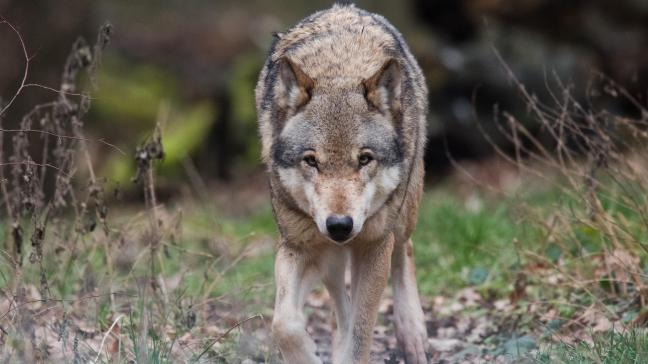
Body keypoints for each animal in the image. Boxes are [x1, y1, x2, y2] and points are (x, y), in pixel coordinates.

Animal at [254, 3, 430, 364]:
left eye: (364, 159)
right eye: (311, 161)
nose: (339, 225)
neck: (340, 69)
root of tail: (345, 7)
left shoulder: (374, 245)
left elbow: (361, 334)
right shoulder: (298, 244)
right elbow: (283, 323)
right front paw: (308, 353)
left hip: (401, 217)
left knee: (404, 251)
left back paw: (413, 335)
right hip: (330, 258)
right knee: (339, 304)